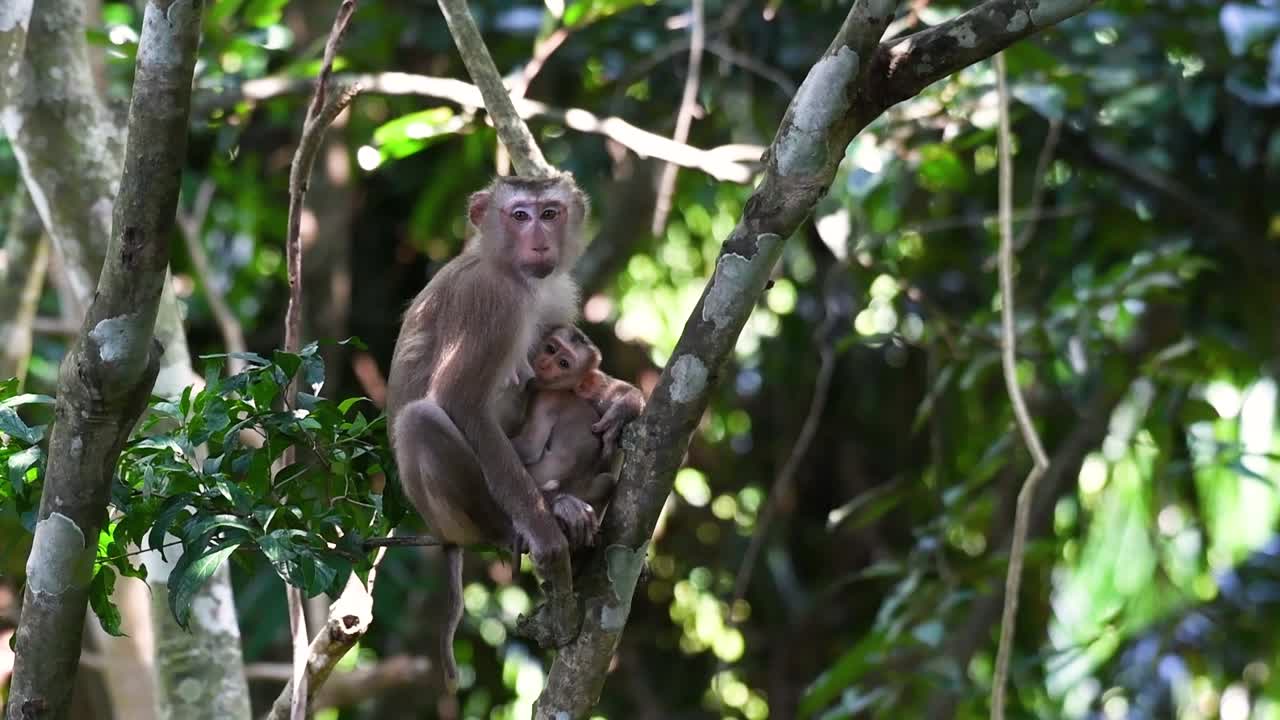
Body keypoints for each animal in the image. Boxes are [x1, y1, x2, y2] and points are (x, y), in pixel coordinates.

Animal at [385, 174, 644, 692]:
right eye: (519, 215)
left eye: (550, 213)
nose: (539, 241)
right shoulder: (494, 301)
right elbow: (460, 402)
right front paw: (544, 535)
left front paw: (626, 399)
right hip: (453, 517)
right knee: (421, 420)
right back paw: (525, 522)